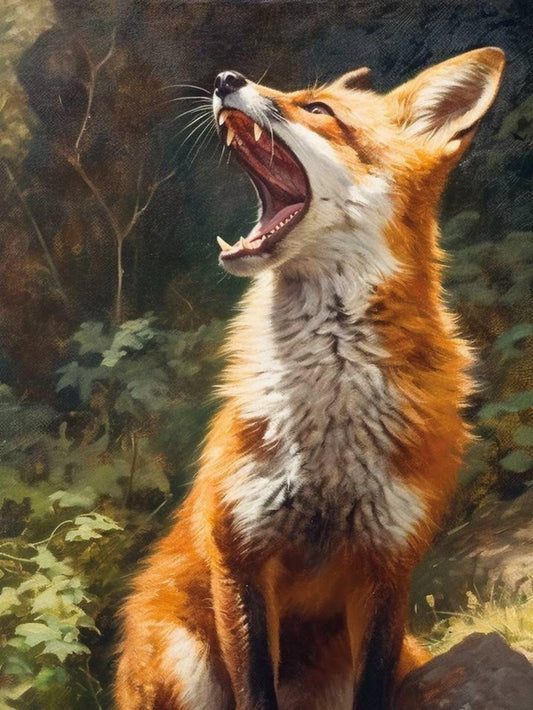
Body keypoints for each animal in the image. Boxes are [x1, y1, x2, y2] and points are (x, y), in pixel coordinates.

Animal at [115, 47, 505, 710]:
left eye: (318, 109)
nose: (224, 79)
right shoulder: (240, 557)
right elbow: (255, 690)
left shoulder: (386, 567)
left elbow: (372, 688)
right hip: (186, 663)